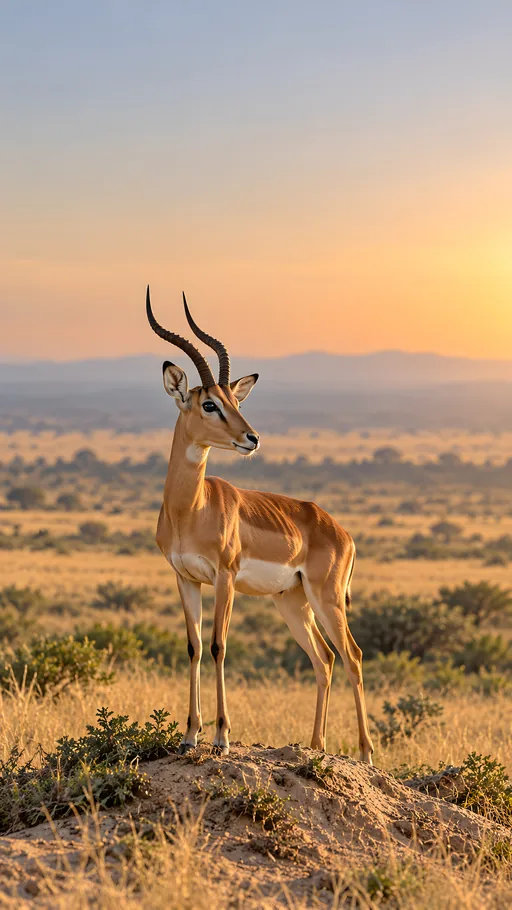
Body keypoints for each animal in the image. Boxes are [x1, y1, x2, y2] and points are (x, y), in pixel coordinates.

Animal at [146, 287, 374, 763]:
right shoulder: (184, 578)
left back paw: (365, 754)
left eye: (235, 402)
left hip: (327, 598)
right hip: (292, 602)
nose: (251, 438)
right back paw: (315, 747)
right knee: (324, 660)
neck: (190, 509)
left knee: (353, 655)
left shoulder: (225, 577)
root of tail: (341, 532)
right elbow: (195, 647)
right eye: (209, 403)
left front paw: (222, 737)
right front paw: (189, 735)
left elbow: (219, 645)